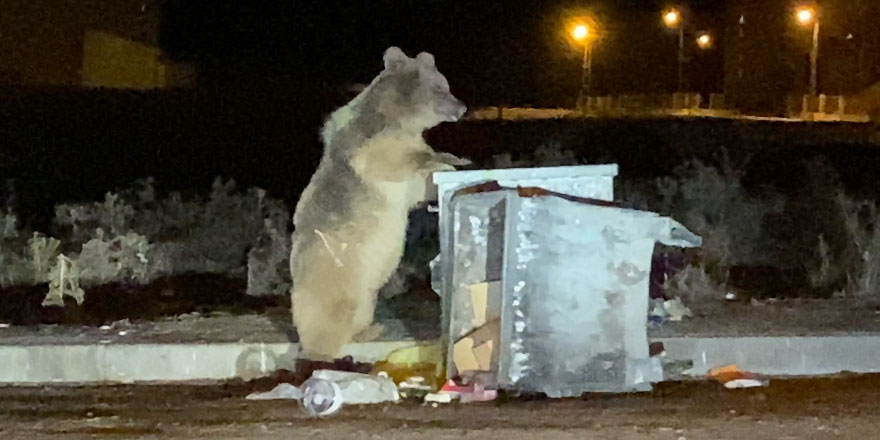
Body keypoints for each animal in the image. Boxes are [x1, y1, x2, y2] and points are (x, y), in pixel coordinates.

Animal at [290, 46, 470, 360]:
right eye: (440, 87)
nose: (462, 107)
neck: (398, 119)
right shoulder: (372, 146)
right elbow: (394, 160)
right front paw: (449, 158)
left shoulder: (405, 172)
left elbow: (419, 186)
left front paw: (453, 165)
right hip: (334, 276)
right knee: (330, 319)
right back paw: (323, 352)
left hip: (366, 292)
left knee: (359, 314)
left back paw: (369, 330)